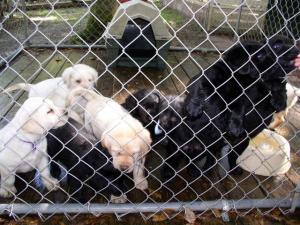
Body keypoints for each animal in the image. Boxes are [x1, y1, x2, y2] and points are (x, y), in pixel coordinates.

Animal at [185, 36, 298, 174]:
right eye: (260, 55)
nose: (275, 62)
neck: (240, 78)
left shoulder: (242, 97)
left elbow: (240, 109)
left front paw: (236, 126)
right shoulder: (208, 78)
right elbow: (200, 88)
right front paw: (194, 108)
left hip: (240, 144)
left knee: (228, 155)